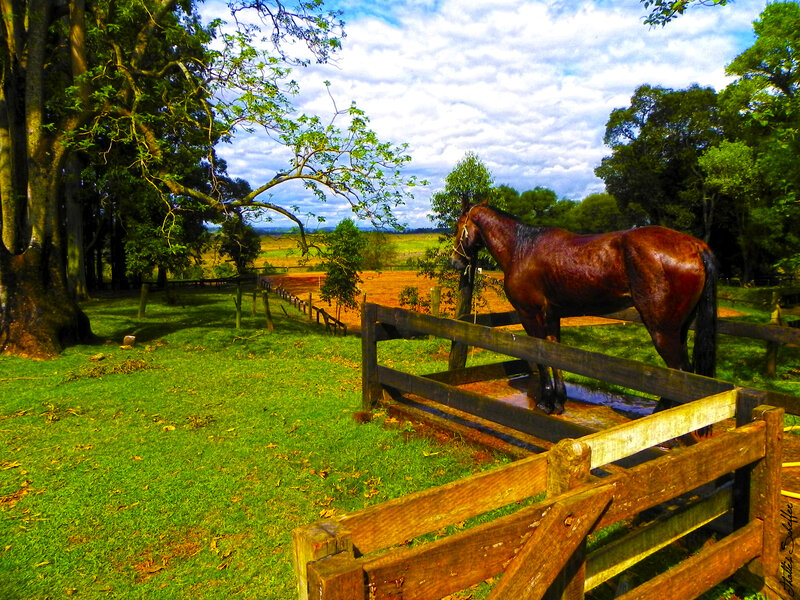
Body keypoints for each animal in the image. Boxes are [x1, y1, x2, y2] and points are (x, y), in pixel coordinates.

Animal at [451, 203, 718, 416]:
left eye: (457, 226)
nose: (455, 261)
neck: (522, 248)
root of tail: (694, 246)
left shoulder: (531, 315)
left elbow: (541, 357)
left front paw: (546, 402)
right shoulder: (551, 316)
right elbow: (554, 354)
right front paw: (559, 401)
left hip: (662, 330)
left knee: (679, 373)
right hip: (679, 329)